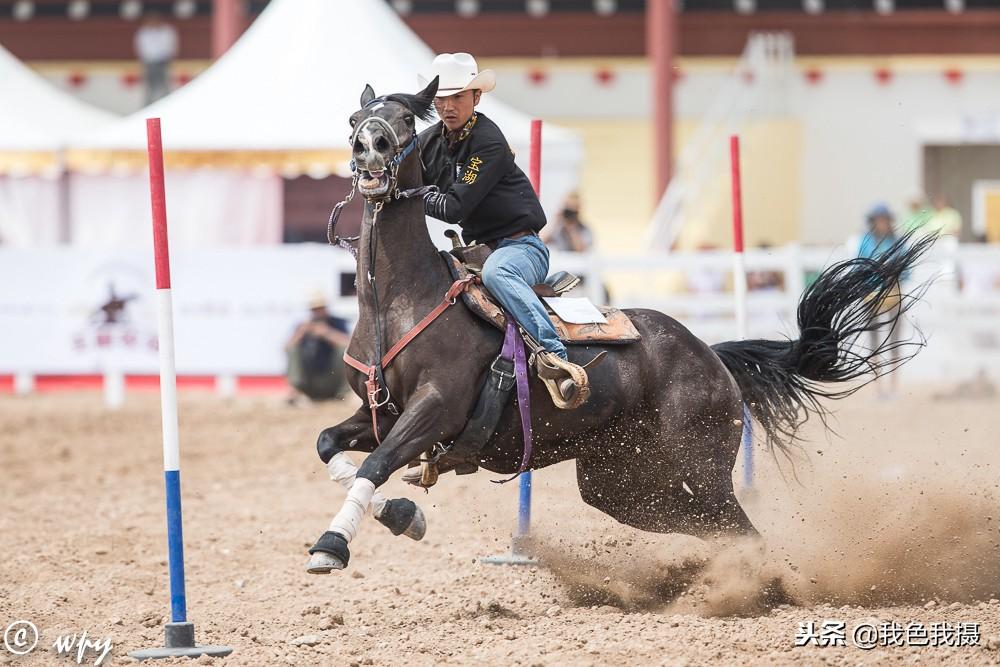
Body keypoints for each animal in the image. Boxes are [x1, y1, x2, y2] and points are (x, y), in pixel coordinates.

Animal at [302, 75, 928, 572]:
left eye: (406, 119)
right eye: (355, 119)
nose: (368, 149)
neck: (399, 301)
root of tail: (711, 355)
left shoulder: (436, 408)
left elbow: (377, 462)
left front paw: (332, 545)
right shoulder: (378, 412)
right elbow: (329, 443)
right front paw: (404, 515)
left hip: (701, 463)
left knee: (738, 525)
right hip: (620, 482)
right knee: (707, 525)